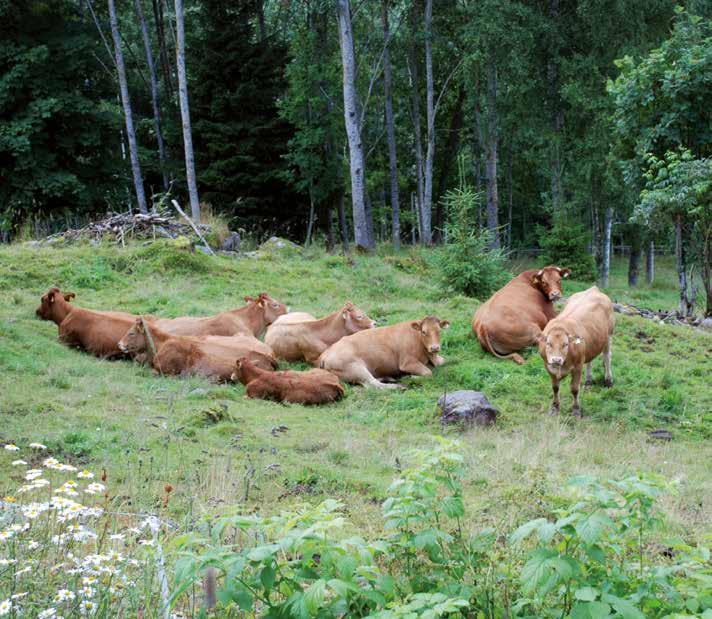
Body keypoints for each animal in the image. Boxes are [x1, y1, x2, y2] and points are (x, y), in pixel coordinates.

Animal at [318, 318, 448, 390]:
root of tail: (325, 354)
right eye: (424, 331)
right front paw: (411, 377)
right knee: (373, 385)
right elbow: (428, 373)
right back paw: (398, 386)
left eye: (439, 331)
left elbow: (443, 361)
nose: (434, 347)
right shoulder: (407, 362)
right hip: (356, 367)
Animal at [536, 288, 616, 418]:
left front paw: (576, 410)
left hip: (609, 335)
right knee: (590, 361)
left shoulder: (578, 367)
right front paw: (554, 407)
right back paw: (588, 380)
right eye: (548, 343)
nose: (556, 360)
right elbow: (555, 388)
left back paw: (608, 380)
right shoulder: (548, 367)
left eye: (565, 344)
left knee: (607, 357)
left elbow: (574, 389)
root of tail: (594, 289)